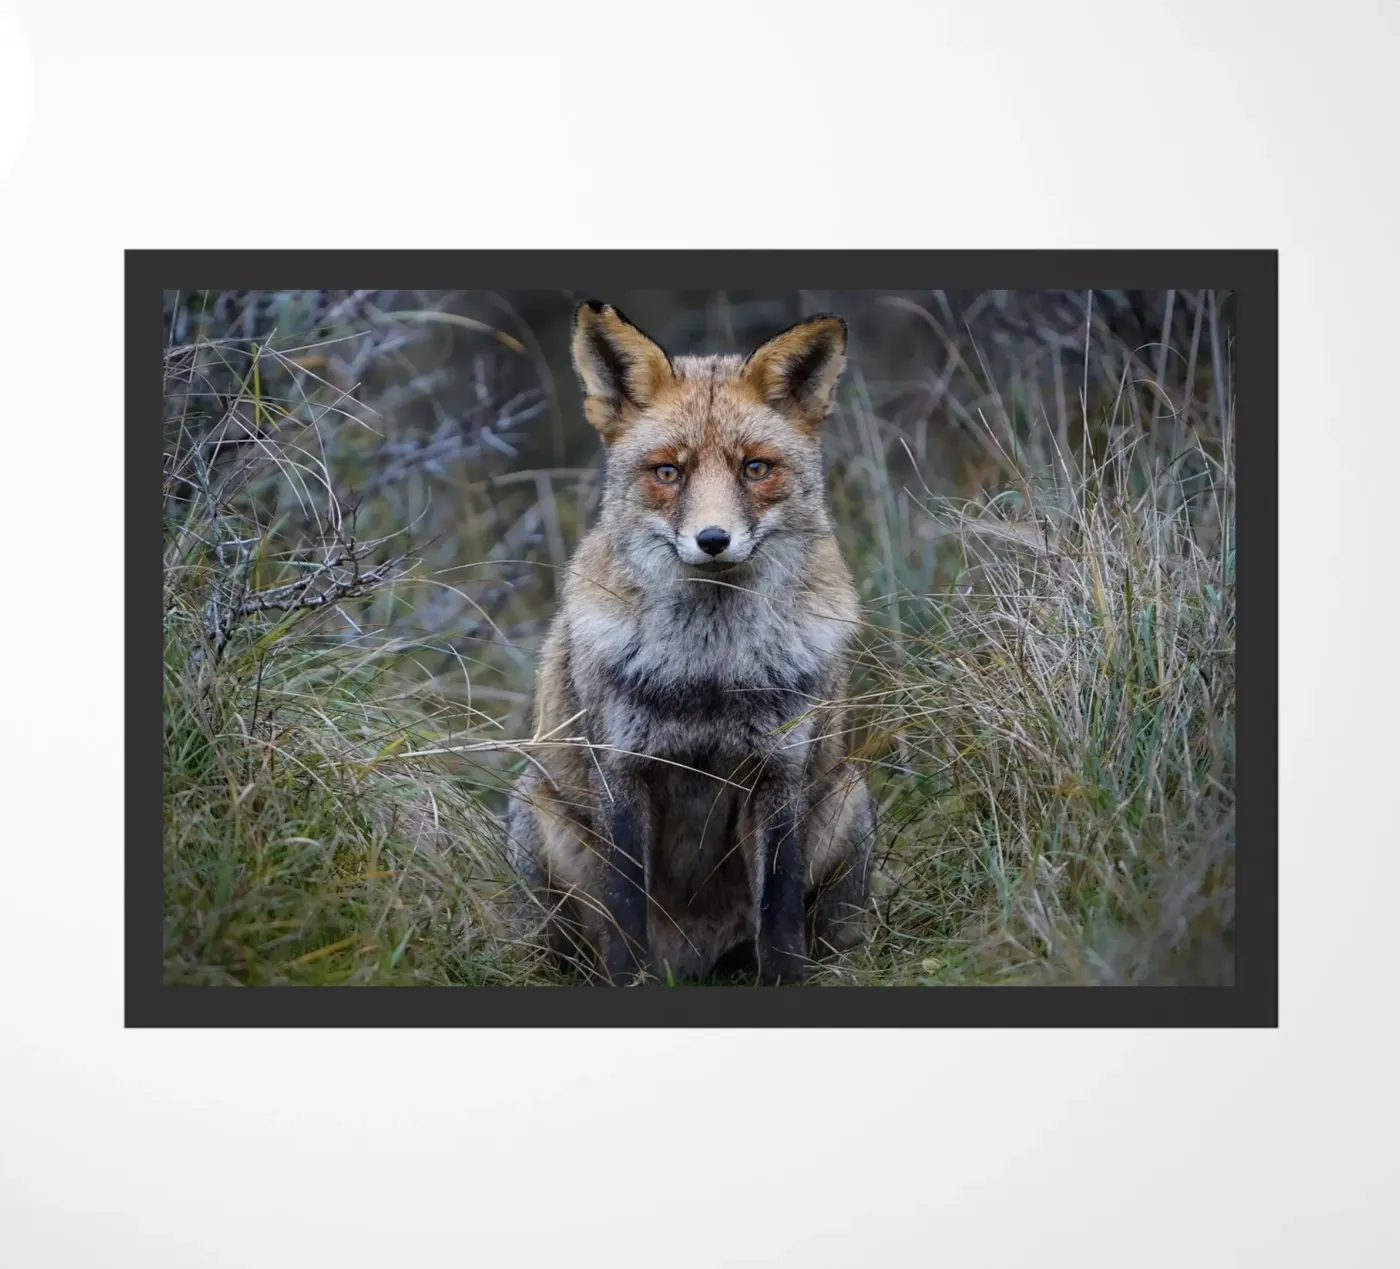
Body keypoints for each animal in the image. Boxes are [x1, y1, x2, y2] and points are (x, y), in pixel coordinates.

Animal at [505, 300, 875, 985]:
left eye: (755, 468)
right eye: (668, 472)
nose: (713, 540)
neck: (708, 672)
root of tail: (696, 960)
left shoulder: (778, 771)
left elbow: (779, 912)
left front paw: (786, 982)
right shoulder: (622, 771)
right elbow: (627, 913)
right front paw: (631, 985)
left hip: (848, 792)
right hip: (534, 816)